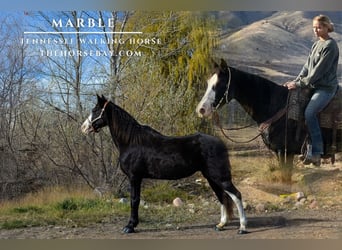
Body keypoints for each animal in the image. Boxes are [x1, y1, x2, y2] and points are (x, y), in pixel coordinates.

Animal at [81, 94, 247, 234]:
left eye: (95, 110)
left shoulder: (134, 177)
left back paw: (242, 228)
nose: (83, 128)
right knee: (222, 196)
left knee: (236, 195)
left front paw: (130, 226)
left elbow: (134, 200)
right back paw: (221, 225)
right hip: (211, 177)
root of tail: (220, 143)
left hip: (219, 177)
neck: (131, 142)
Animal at [196, 58, 340, 176]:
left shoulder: (286, 152)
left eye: (220, 83)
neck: (276, 105)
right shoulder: (279, 152)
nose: (201, 109)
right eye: (208, 82)